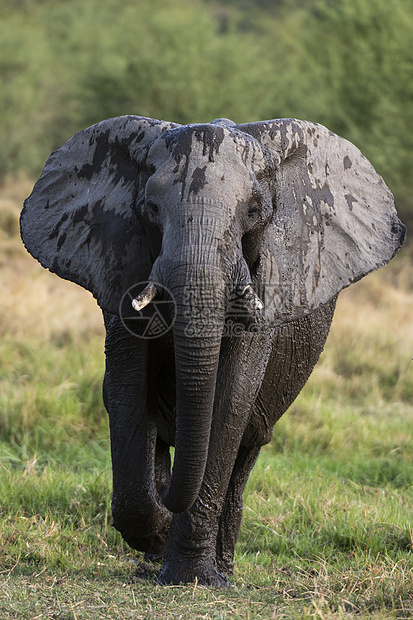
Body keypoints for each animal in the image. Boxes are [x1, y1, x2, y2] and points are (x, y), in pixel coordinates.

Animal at [20, 115, 404, 588]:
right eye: (150, 209)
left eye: (254, 212)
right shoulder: (121, 265)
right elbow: (126, 393)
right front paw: (158, 530)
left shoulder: (266, 284)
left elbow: (230, 400)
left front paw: (191, 578)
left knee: (246, 450)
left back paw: (220, 567)